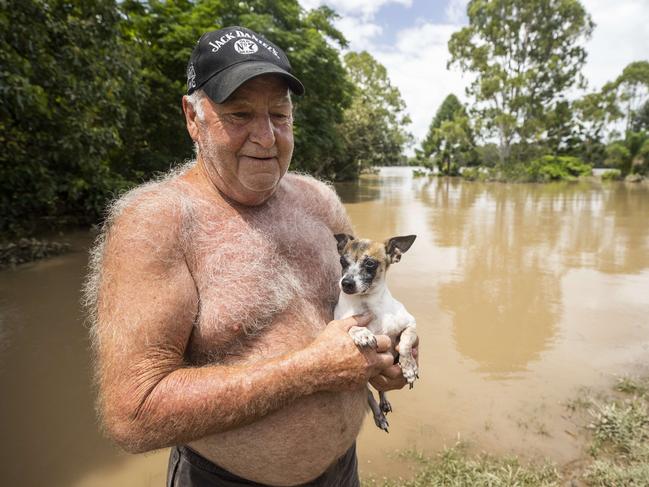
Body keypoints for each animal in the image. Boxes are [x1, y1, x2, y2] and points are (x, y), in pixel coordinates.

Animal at [332, 234, 418, 432]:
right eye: (342, 261)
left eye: (370, 264)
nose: (346, 283)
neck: (367, 304)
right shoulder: (340, 321)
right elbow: (351, 325)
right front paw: (362, 333)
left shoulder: (411, 324)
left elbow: (405, 342)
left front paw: (409, 367)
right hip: (363, 383)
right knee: (370, 395)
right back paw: (379, 415)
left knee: (380, 389)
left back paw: (384, 402)